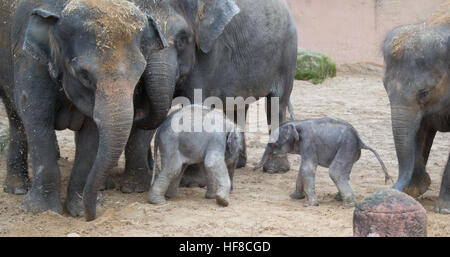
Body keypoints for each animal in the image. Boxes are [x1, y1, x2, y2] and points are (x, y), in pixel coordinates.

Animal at [0, 0, 171, 220]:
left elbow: (91, 132)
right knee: (16, 118)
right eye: (84, 74)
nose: (93, 216)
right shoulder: (29, 61)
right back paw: (17, 189)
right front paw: (42, 210)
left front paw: (79, 211)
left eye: (140, 72)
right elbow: (36, 117)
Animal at [123, 0, 298, 190]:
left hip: (287, 57)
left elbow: (195, 102)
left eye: (182, 39)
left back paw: (275, 169)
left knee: (276, 104)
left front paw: (191, 183)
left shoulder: (211, 52)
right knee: (237, 107)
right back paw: (239, 163)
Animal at [255, 117, 392, 206]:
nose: (254, 168)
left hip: (347, 147)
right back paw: (339, 198)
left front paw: (310, 205)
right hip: (350, 151)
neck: (297, 123)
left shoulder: (308, 142)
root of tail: (360, 140)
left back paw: (349, 205)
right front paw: (294, 197)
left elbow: (307, 169)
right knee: (342, 174)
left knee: (335, 172)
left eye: (273, 144)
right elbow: (302, 169)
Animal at [384, 7, 450, 213]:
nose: (392, 187)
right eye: (385, 87)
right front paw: (415, 190)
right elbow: (419, 130)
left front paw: (444, 209)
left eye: (424, 92)